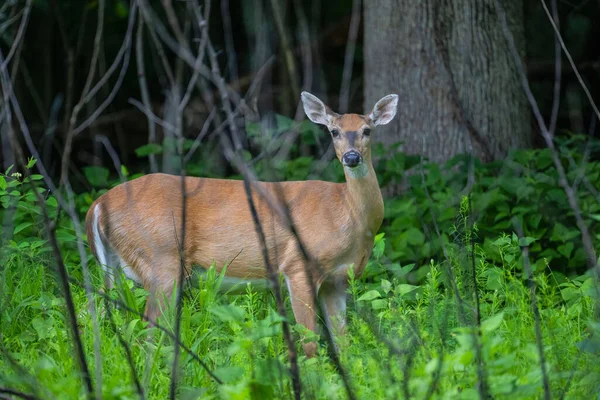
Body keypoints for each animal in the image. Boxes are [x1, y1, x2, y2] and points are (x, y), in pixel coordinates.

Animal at [85, 92, 398, 358]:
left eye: (367, 130)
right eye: (333, 131)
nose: (352, 157)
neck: (344, 213)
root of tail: (97, 206)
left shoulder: (338, 280)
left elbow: (343, 343)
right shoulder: (297, 266)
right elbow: (309, 341)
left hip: (118, 266)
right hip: (160, 258)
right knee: (150, 329)